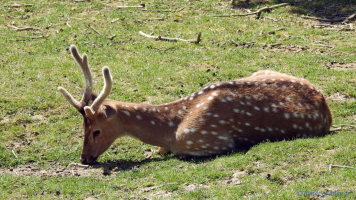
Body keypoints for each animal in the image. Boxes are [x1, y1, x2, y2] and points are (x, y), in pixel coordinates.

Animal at [57, 45, 332, 164]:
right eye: (82, 128)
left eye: (96, 130)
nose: (84, 158)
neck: (169, 130)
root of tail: (327, 108)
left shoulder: (207, 140)